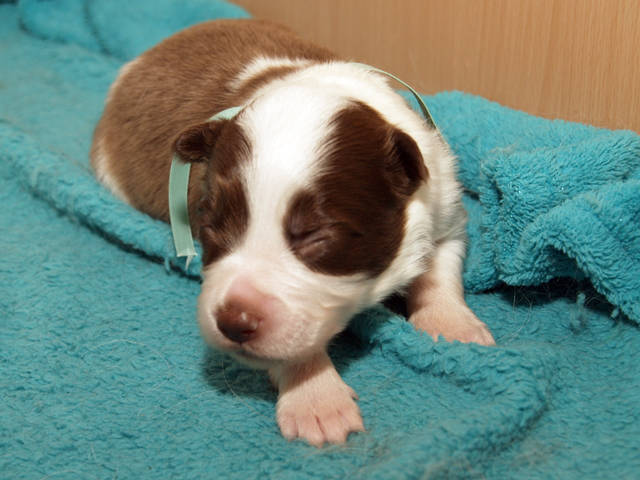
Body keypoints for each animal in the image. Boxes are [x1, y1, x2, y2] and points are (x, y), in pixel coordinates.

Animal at [90, 19, 495, 447]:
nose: (232, 323)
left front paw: (453, 327)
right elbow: (290, 347)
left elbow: (440, 271)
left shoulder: (445, 206)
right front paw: (317, 401)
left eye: (315, 235)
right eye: (211, 224)